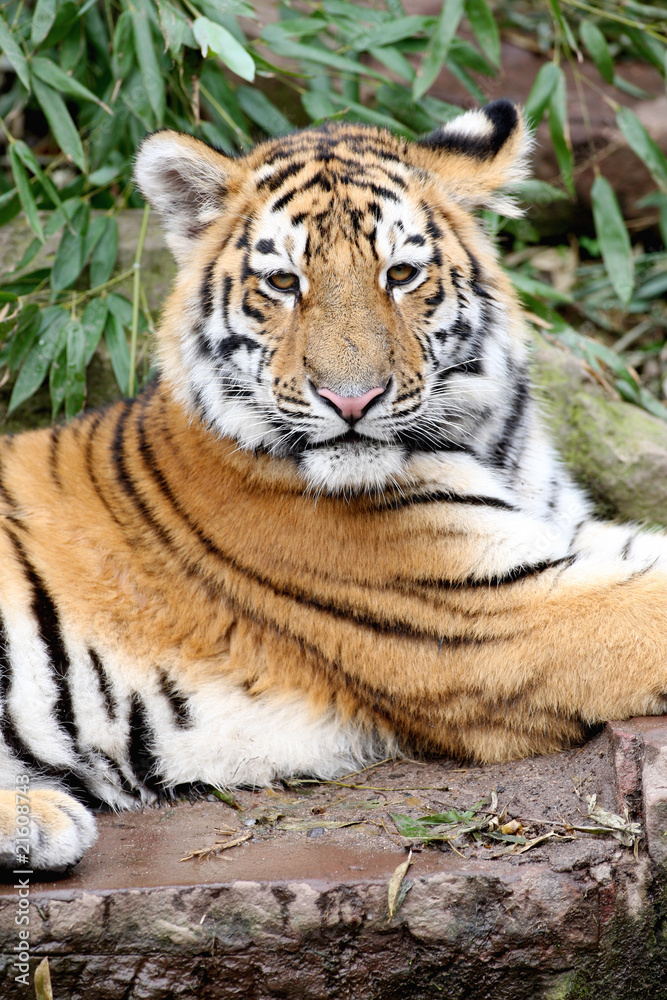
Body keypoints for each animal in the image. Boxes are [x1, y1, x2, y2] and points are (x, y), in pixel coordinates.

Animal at [0, 99, 666, 873]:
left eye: (401, 274)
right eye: (284, 283)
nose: (352, 399)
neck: (486, 442)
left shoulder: (561, 537)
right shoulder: (488, 614)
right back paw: (46, 818)